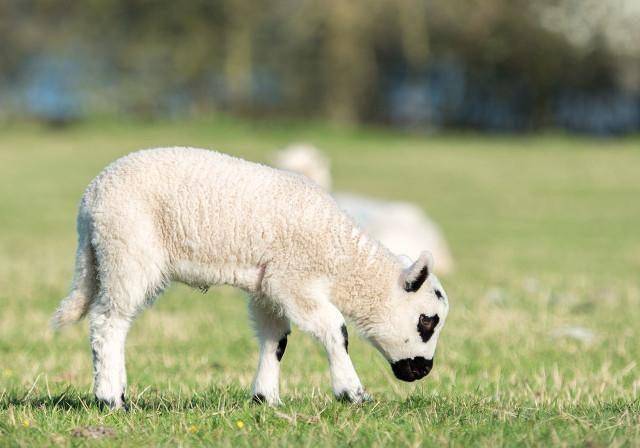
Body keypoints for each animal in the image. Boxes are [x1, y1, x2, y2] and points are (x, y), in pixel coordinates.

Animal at [51, 149, 450, 408]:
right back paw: (110, 398)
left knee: (113, 321)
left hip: (109, 255)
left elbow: (276, 340)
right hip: (127, 251)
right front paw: (352, 393)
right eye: (427, 321)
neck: (340, 257)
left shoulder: (266, 286)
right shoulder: (293, 278)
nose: (423, 371)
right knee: (108, 322)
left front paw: (265, 399)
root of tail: (89, 202)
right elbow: (336, 329)